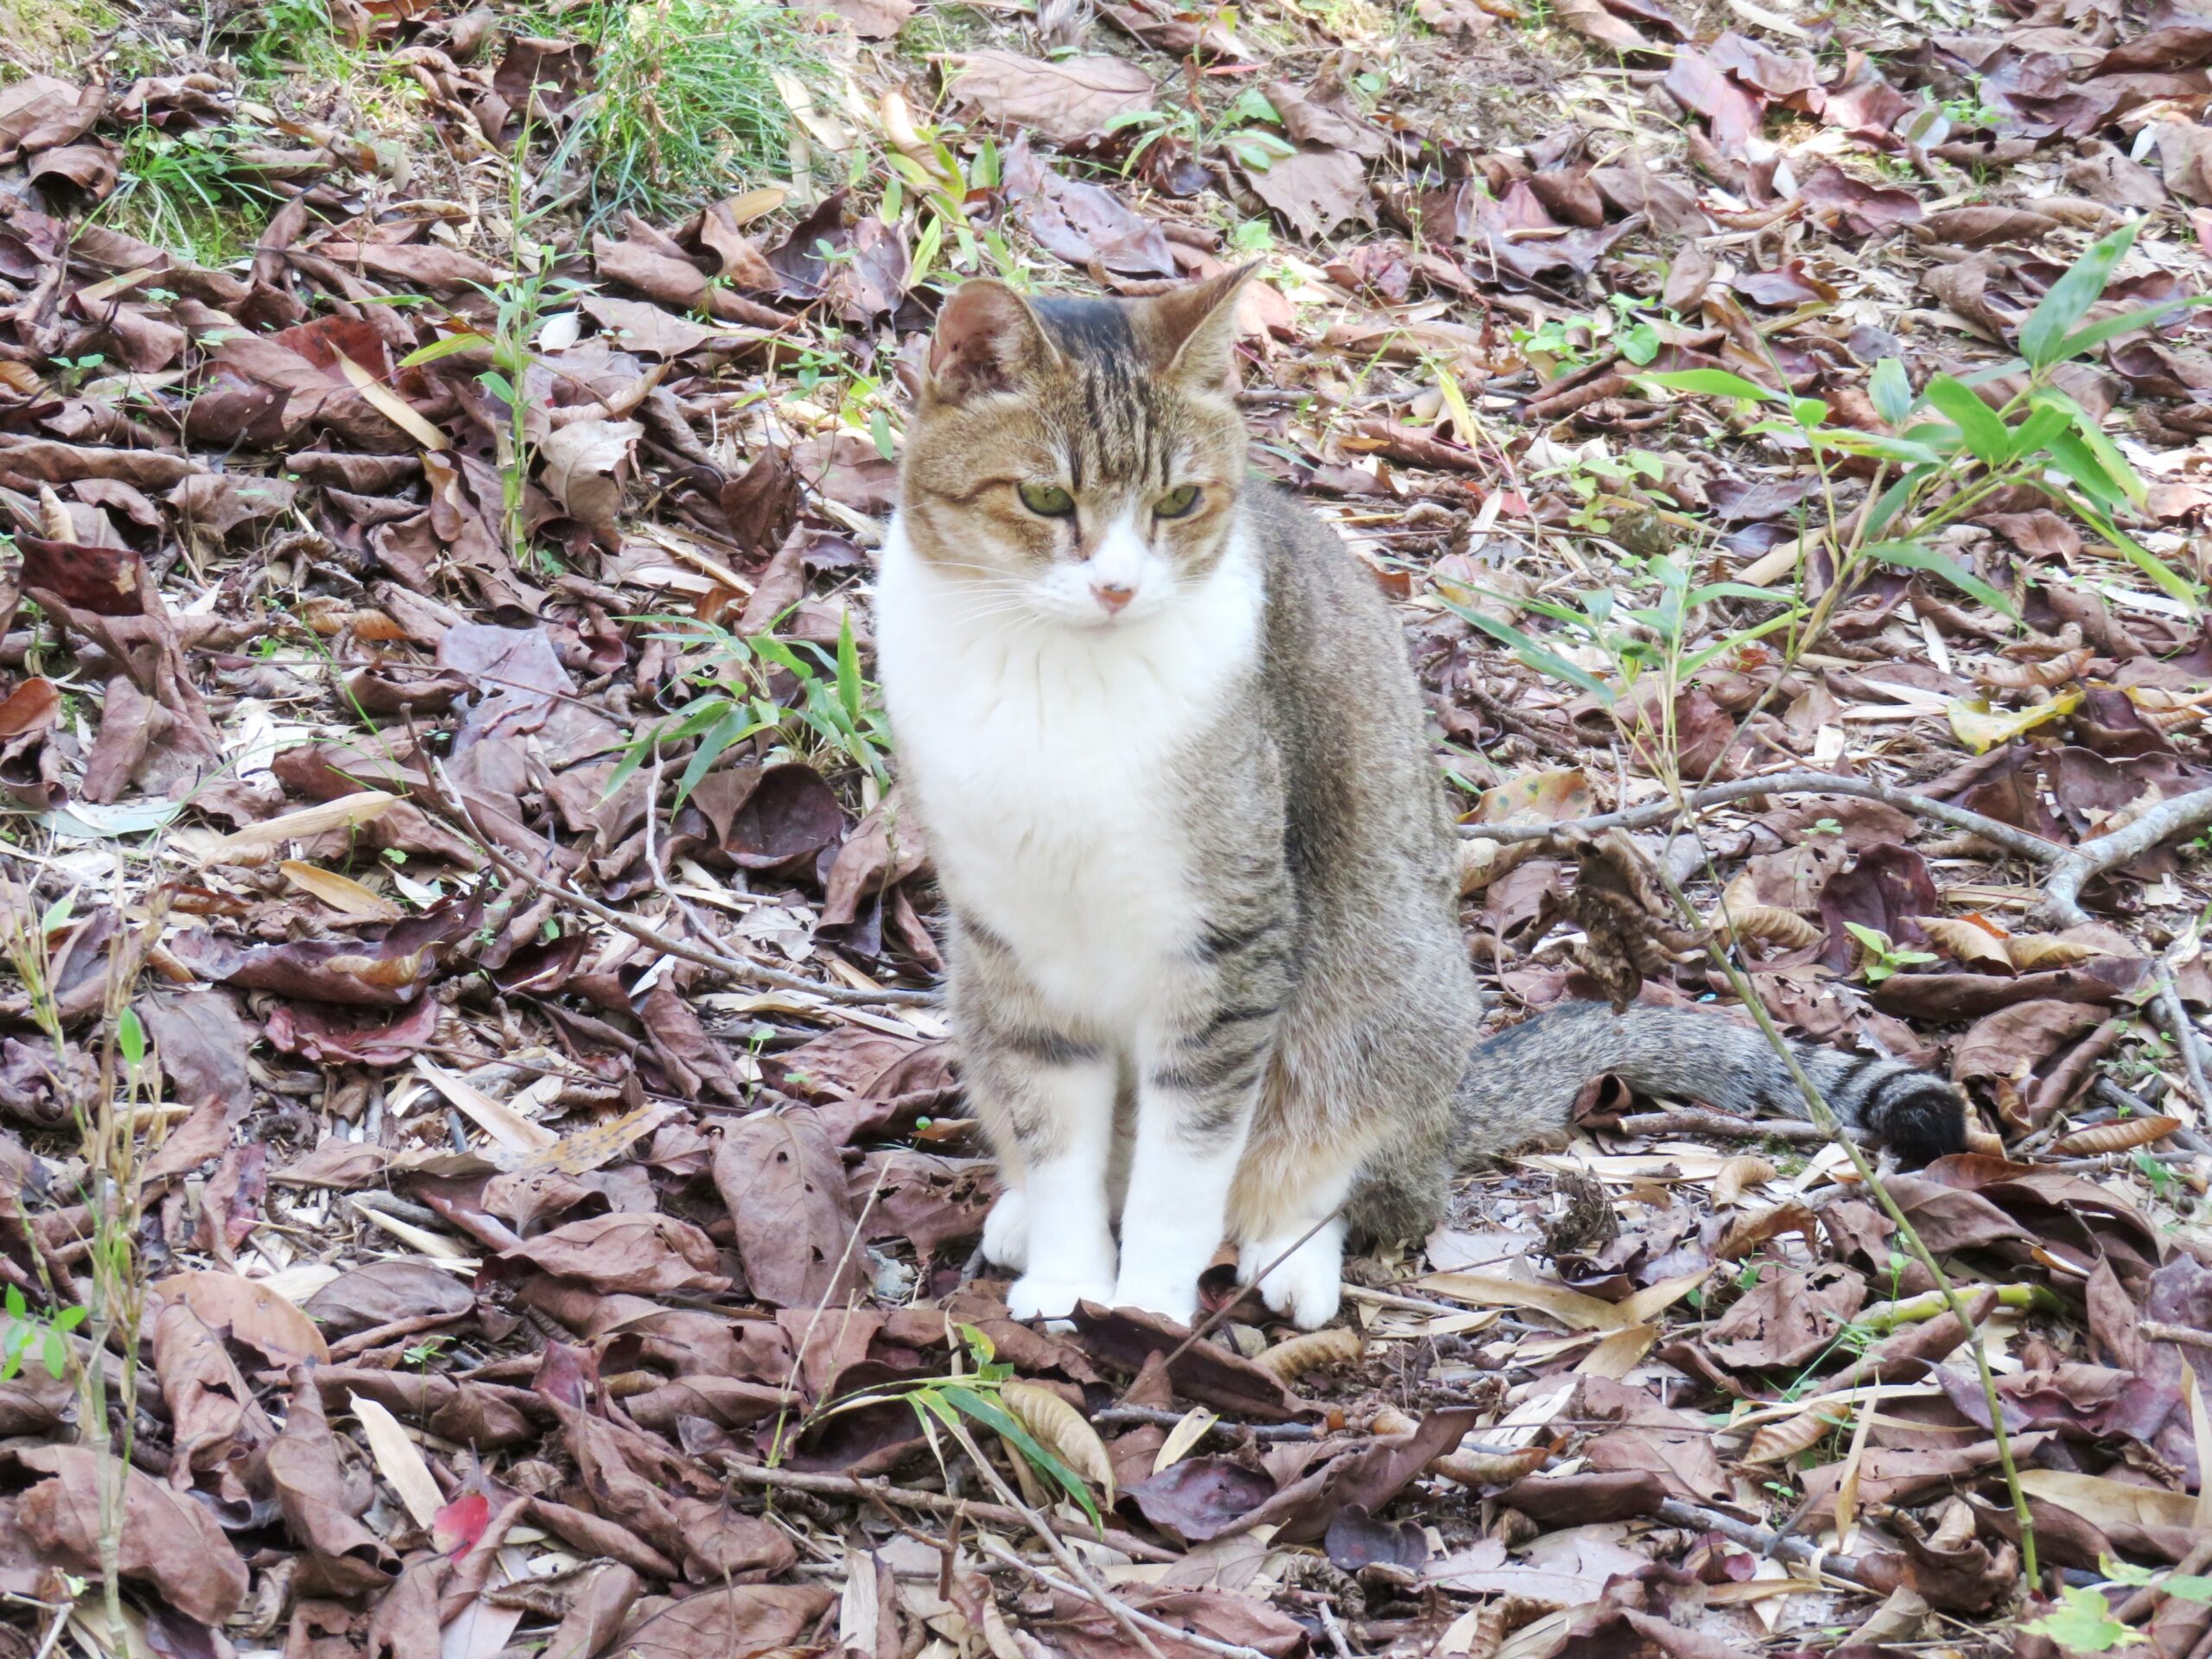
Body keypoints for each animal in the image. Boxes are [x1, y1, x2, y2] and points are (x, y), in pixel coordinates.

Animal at [871, 273, 1964, 1336]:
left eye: (1178, 501)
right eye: (1043, 496)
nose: (1115, 588)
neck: (1057, 679)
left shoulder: (1230, 938)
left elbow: (1185, 1164)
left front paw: (1142, 1300)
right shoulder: (1013, 944)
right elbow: (1055, 1133)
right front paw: (1067, 1270)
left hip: (1377, 984)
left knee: (1360, 1170)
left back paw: (1292, 1255)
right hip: (974, 984)